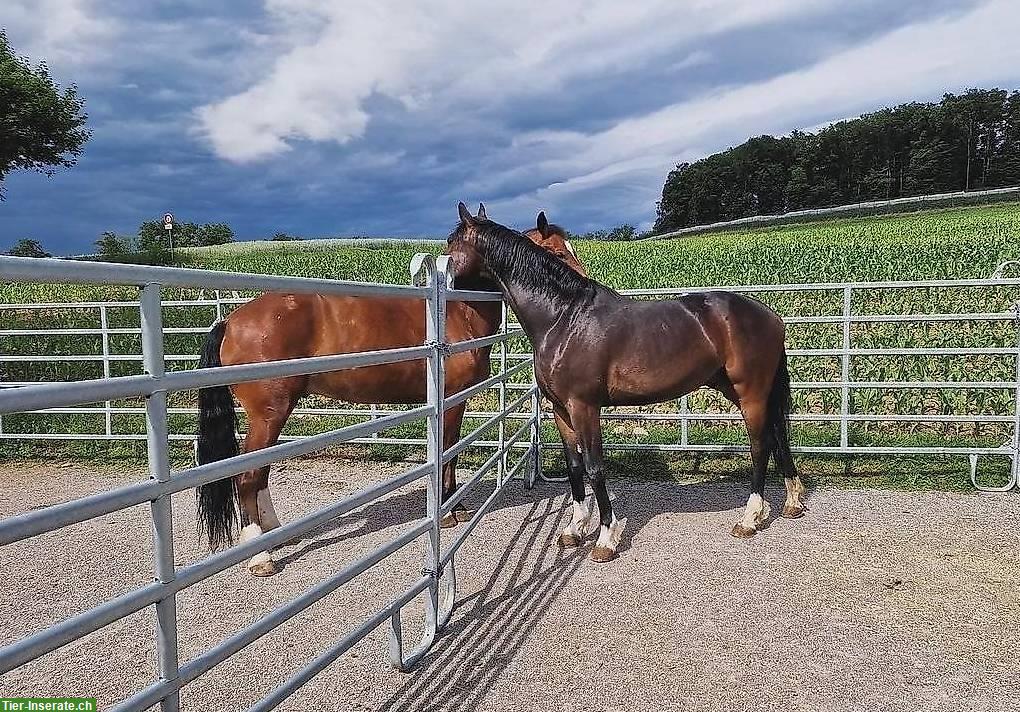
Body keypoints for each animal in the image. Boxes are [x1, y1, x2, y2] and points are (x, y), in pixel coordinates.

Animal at [193, 201, 587, 575]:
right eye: (557, 253)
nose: (585, 289)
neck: (455, 311)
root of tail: (231, 321)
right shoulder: (449, 401)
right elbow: (447, 451)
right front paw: (449, 509)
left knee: (258, 474)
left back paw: (276, 533)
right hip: (268, 415)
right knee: (247, 476)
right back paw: (260, 555)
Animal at [446, 201, 803, 563]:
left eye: (451, 242)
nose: (446, 277)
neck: (563, 318)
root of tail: (770, 315)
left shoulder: (584, 408)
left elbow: (595, 468)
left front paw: (606, 538)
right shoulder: (560, 410)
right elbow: (574, 467)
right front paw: (574, 530)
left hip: (751, 394)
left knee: (760, 446)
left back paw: (750, 518)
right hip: (743, 391)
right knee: (778, 437)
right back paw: (792, 502)